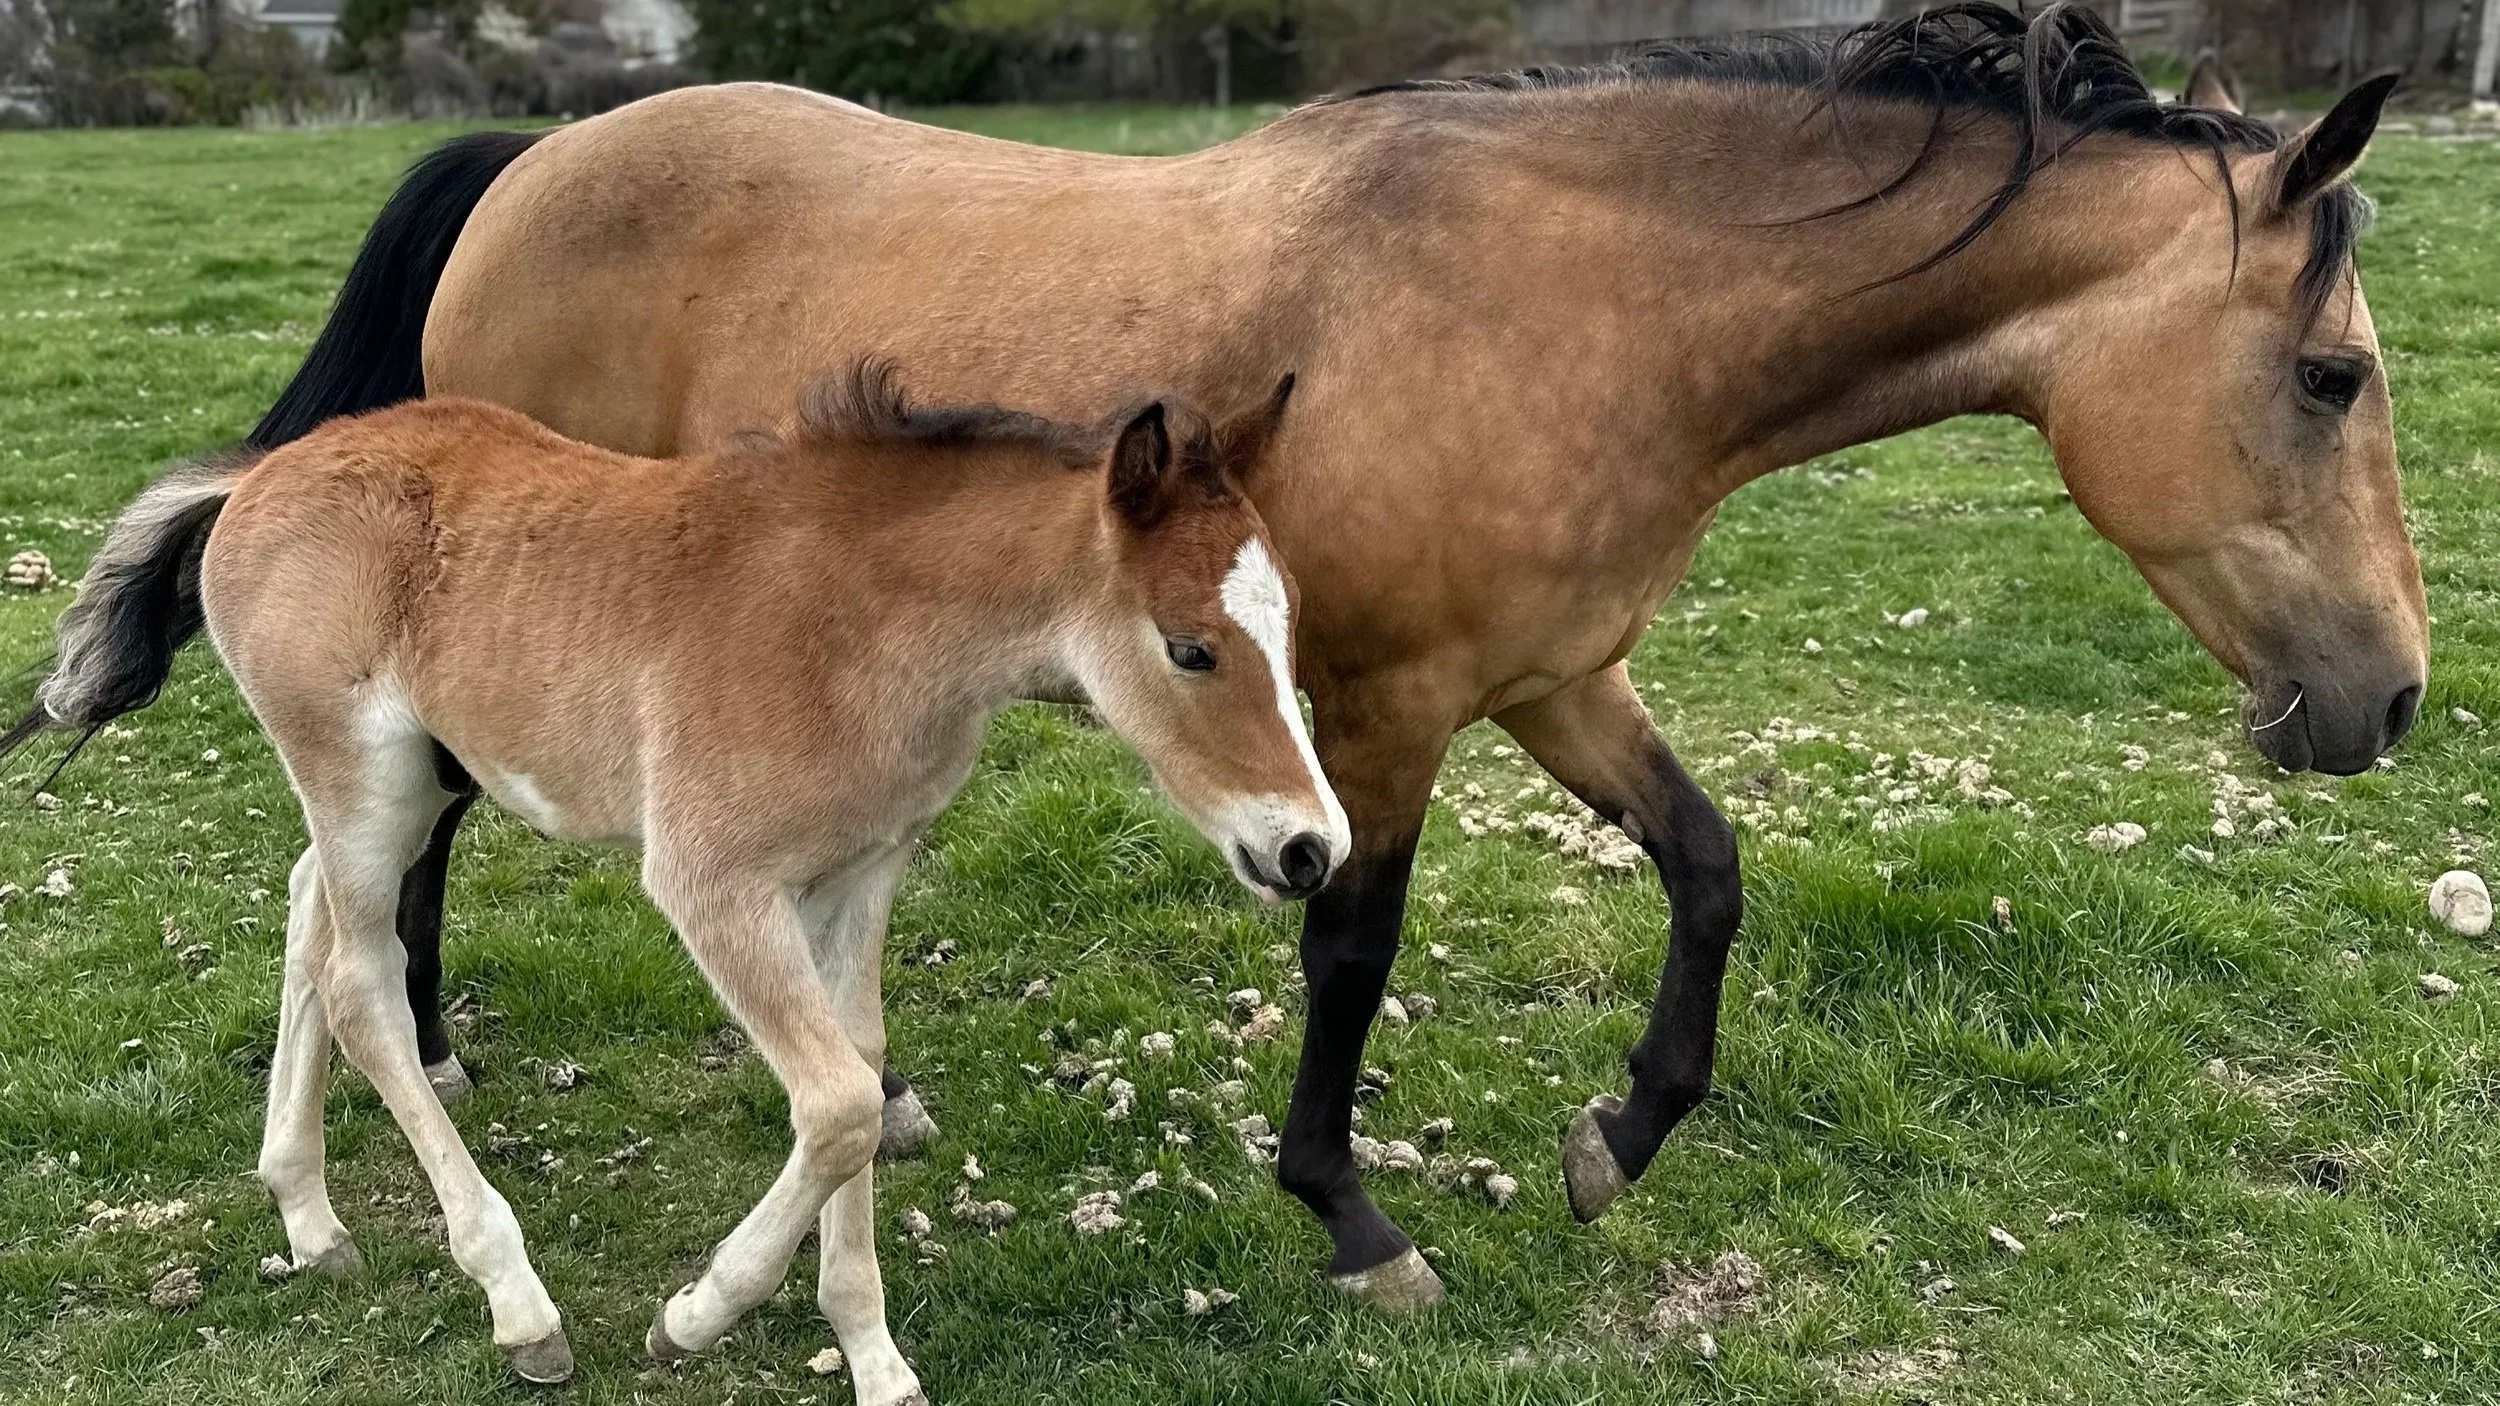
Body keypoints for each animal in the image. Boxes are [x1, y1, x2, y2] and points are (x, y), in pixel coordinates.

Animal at [3, 370, 1340, 1398]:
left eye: (1288, 626)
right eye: (1189, 647)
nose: (1309, 849)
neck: (856, 629)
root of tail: (259, 474)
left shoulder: (861, 874)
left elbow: (859, 1066)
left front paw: (872, 1356)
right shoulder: (711, 881)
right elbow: (840, 1103)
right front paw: (693, 1315)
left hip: (408, 783)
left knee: (303, 911)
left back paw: (308, 1213)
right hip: (363, 778)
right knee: (361, 979)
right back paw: (517, 1300)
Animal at [238, 4, 2427, 1311]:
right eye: (2330, 376)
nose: (2392, 700)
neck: (1591, 303)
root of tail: (532, 158)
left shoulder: (1554, 678)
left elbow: (1709, 870)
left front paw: (1617, 1139)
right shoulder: (1381, 713)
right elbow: (1352, 948)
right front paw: (1351, 1214)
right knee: (413, 832)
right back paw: (421, 1039)